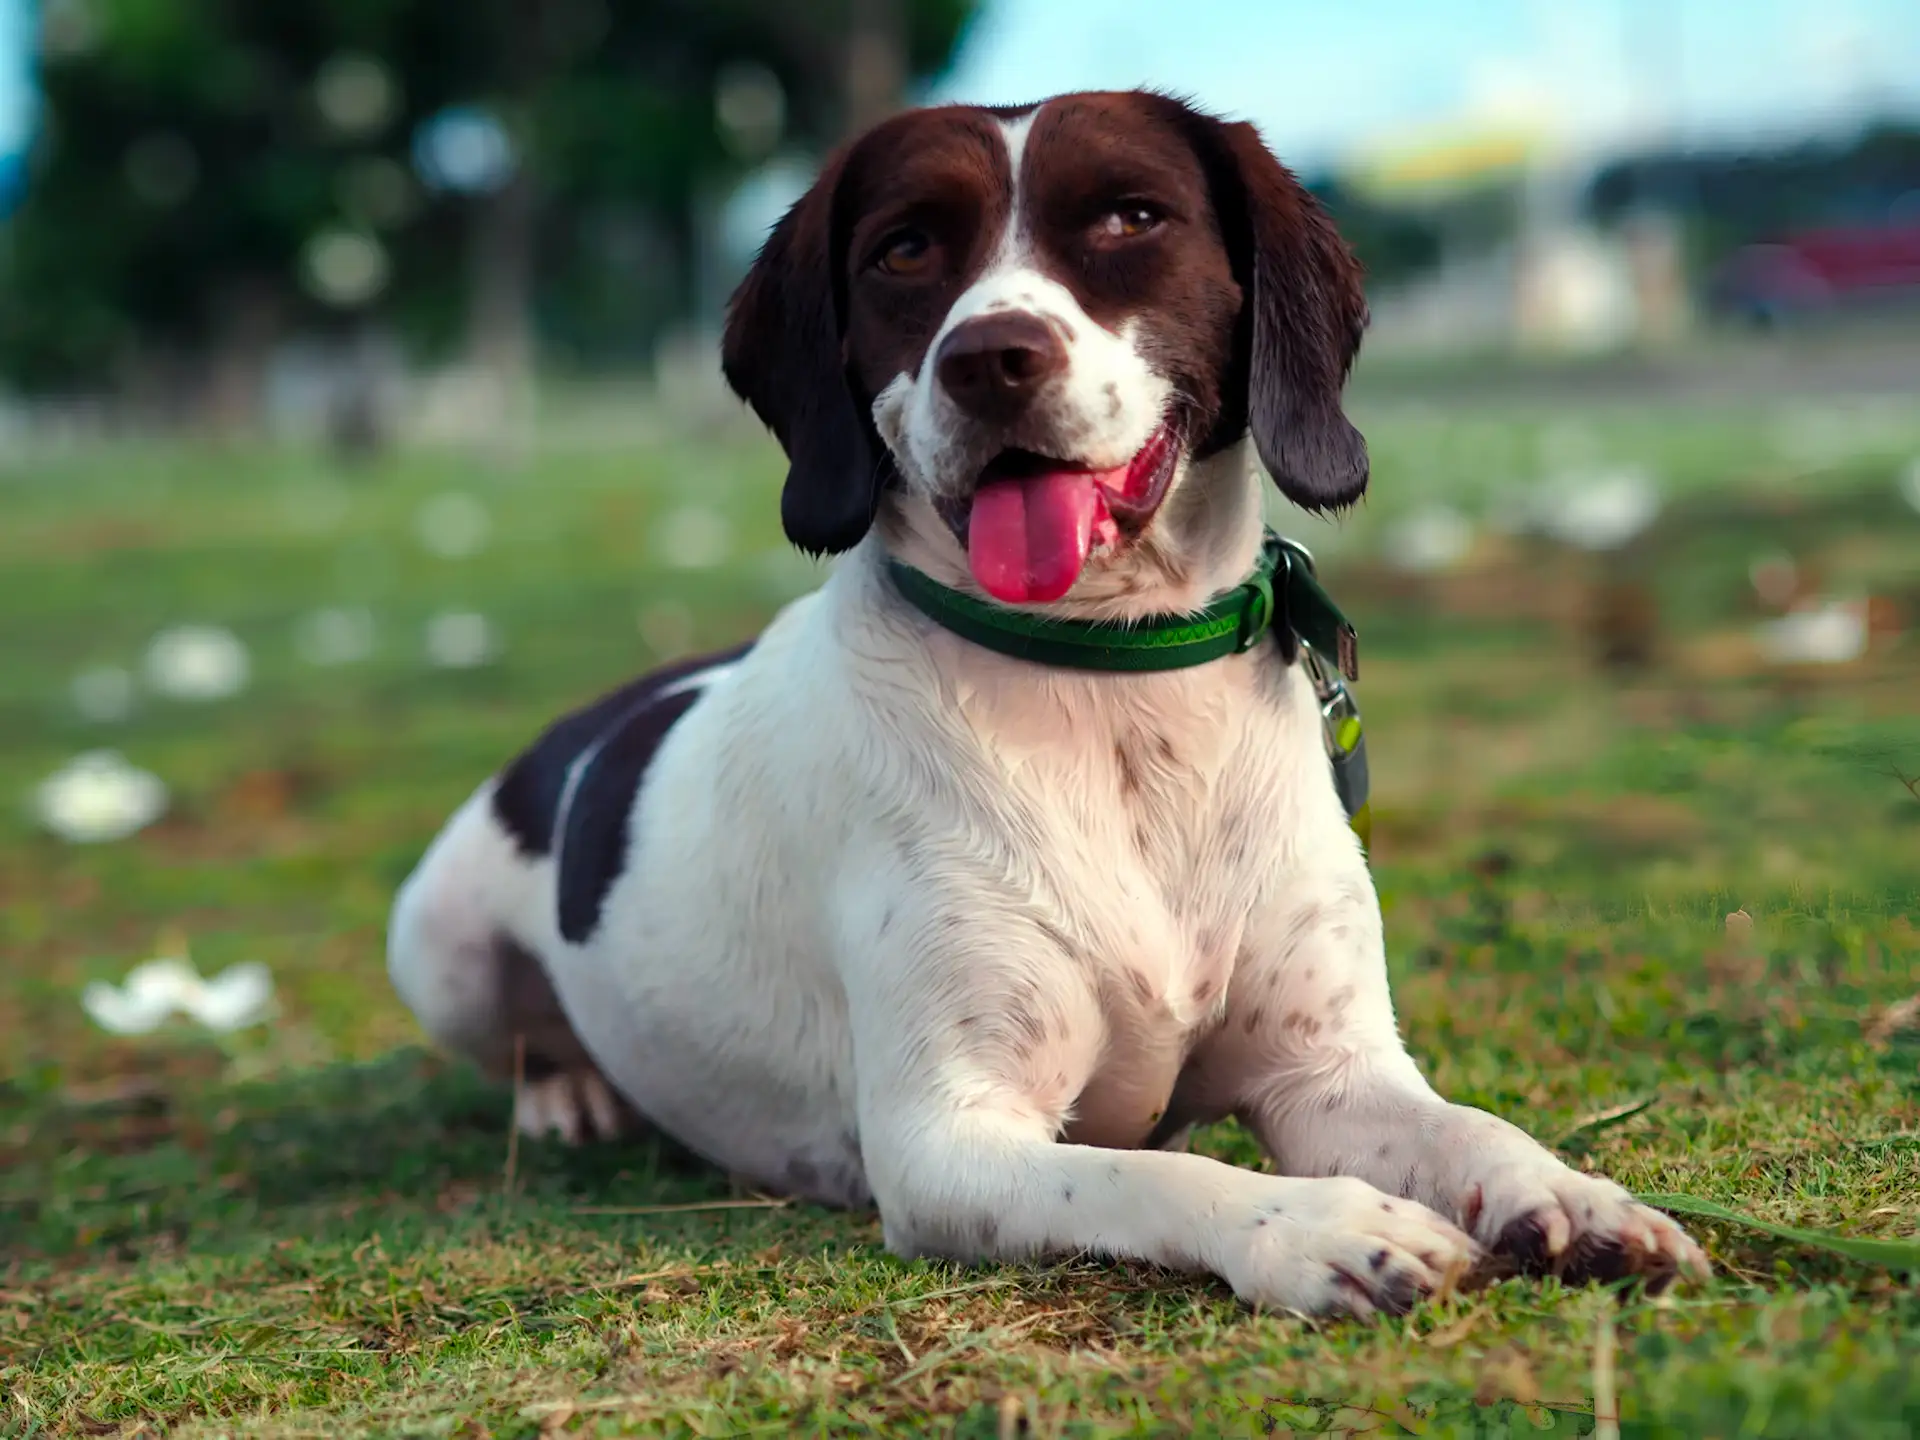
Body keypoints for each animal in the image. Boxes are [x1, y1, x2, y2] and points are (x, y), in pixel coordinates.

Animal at [382, 90, 1704, 1320]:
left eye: (1129, 218)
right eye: (906, 248)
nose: (991, 358)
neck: (1106, 679)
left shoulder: (1329, 1076)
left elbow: (1474, 1129)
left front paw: (1576, 1197)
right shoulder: (948, 1141)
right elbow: (1165, 1174)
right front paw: (1323, 1228)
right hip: (435, 947)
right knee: (517, 1040)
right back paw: (568, 1089)